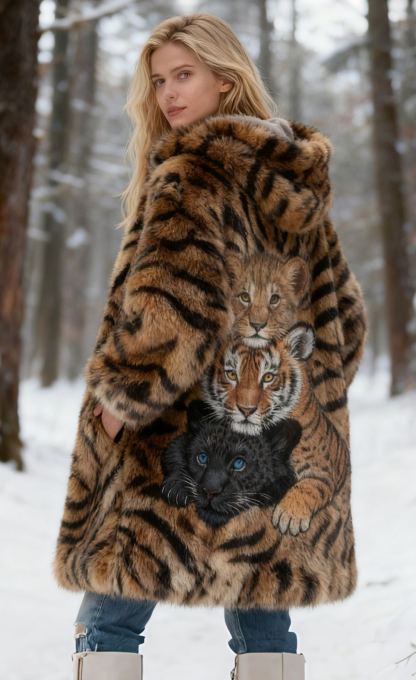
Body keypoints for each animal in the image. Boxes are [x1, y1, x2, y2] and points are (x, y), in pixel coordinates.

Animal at [202, 322, 350, 536]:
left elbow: (308, 486)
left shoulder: (322, 470)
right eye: (231, 375)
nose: (246, 410)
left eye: (268, 377)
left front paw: (289, 516)